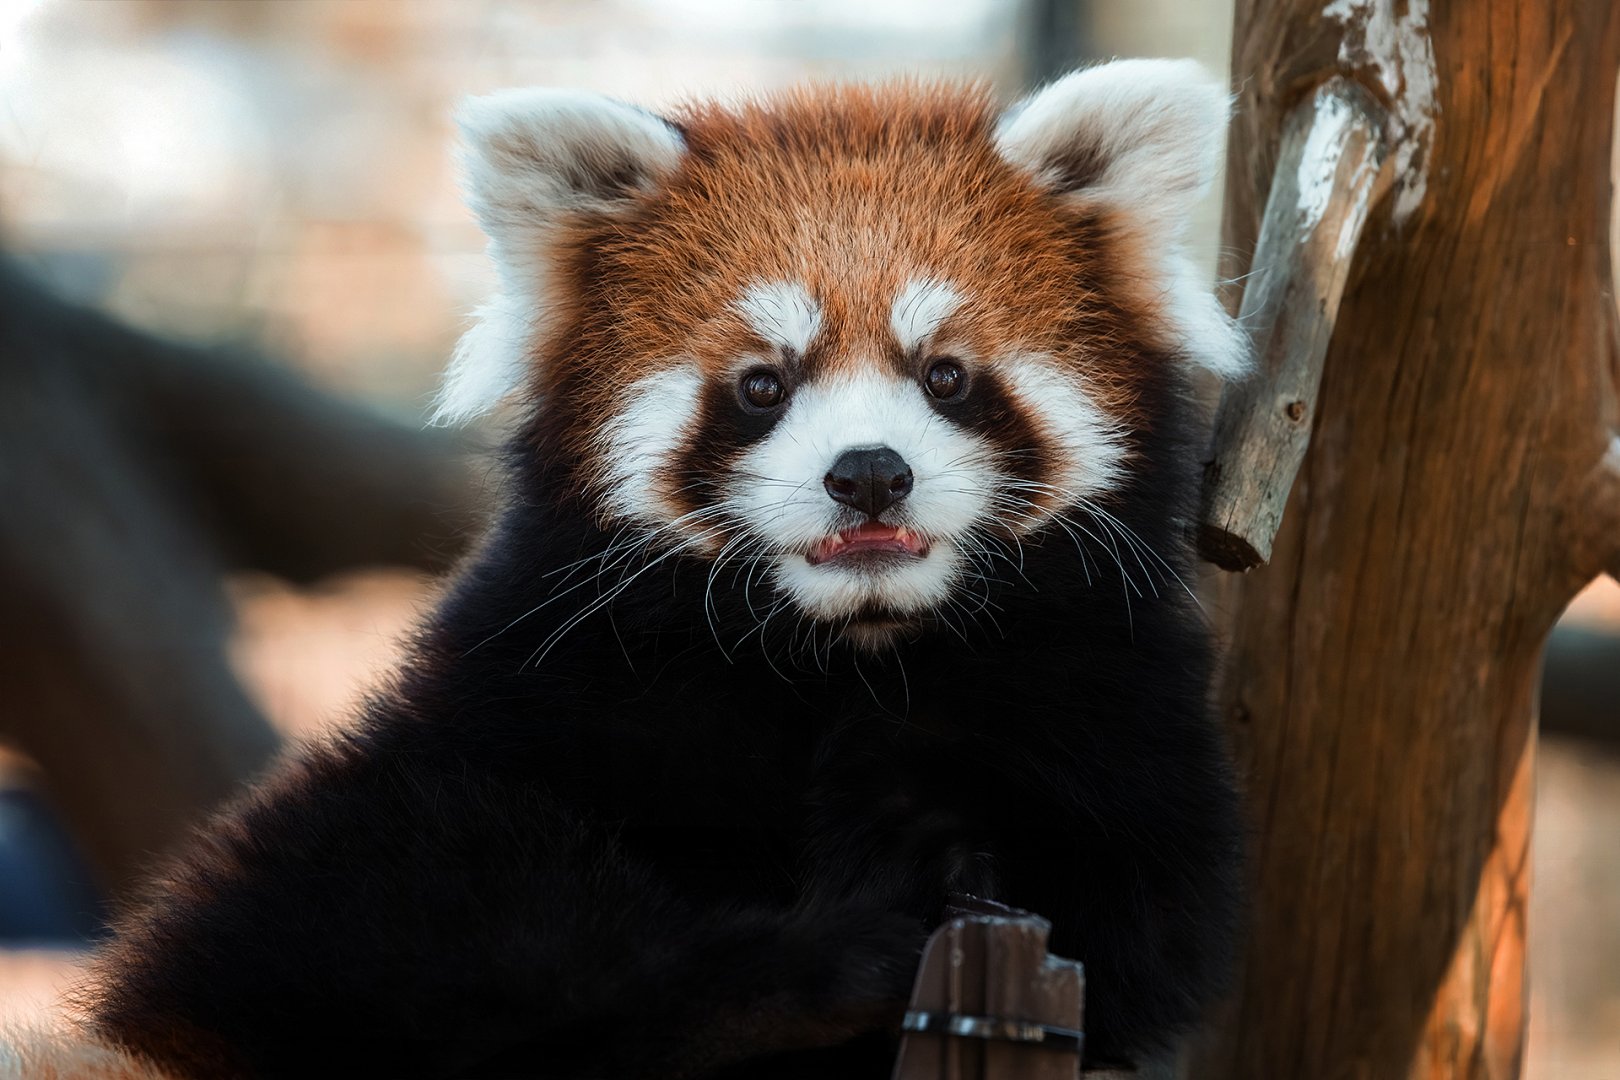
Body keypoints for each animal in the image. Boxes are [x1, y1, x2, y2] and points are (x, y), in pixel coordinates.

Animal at [53, 59, 1248, 1079]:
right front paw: (819, 948)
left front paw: (932, 834)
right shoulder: (522, 691)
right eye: (763, 385)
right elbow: (368, 916)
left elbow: (1129, 916)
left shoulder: (1114, 713)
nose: (868, 475)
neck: (845, 651)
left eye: (947, 376)